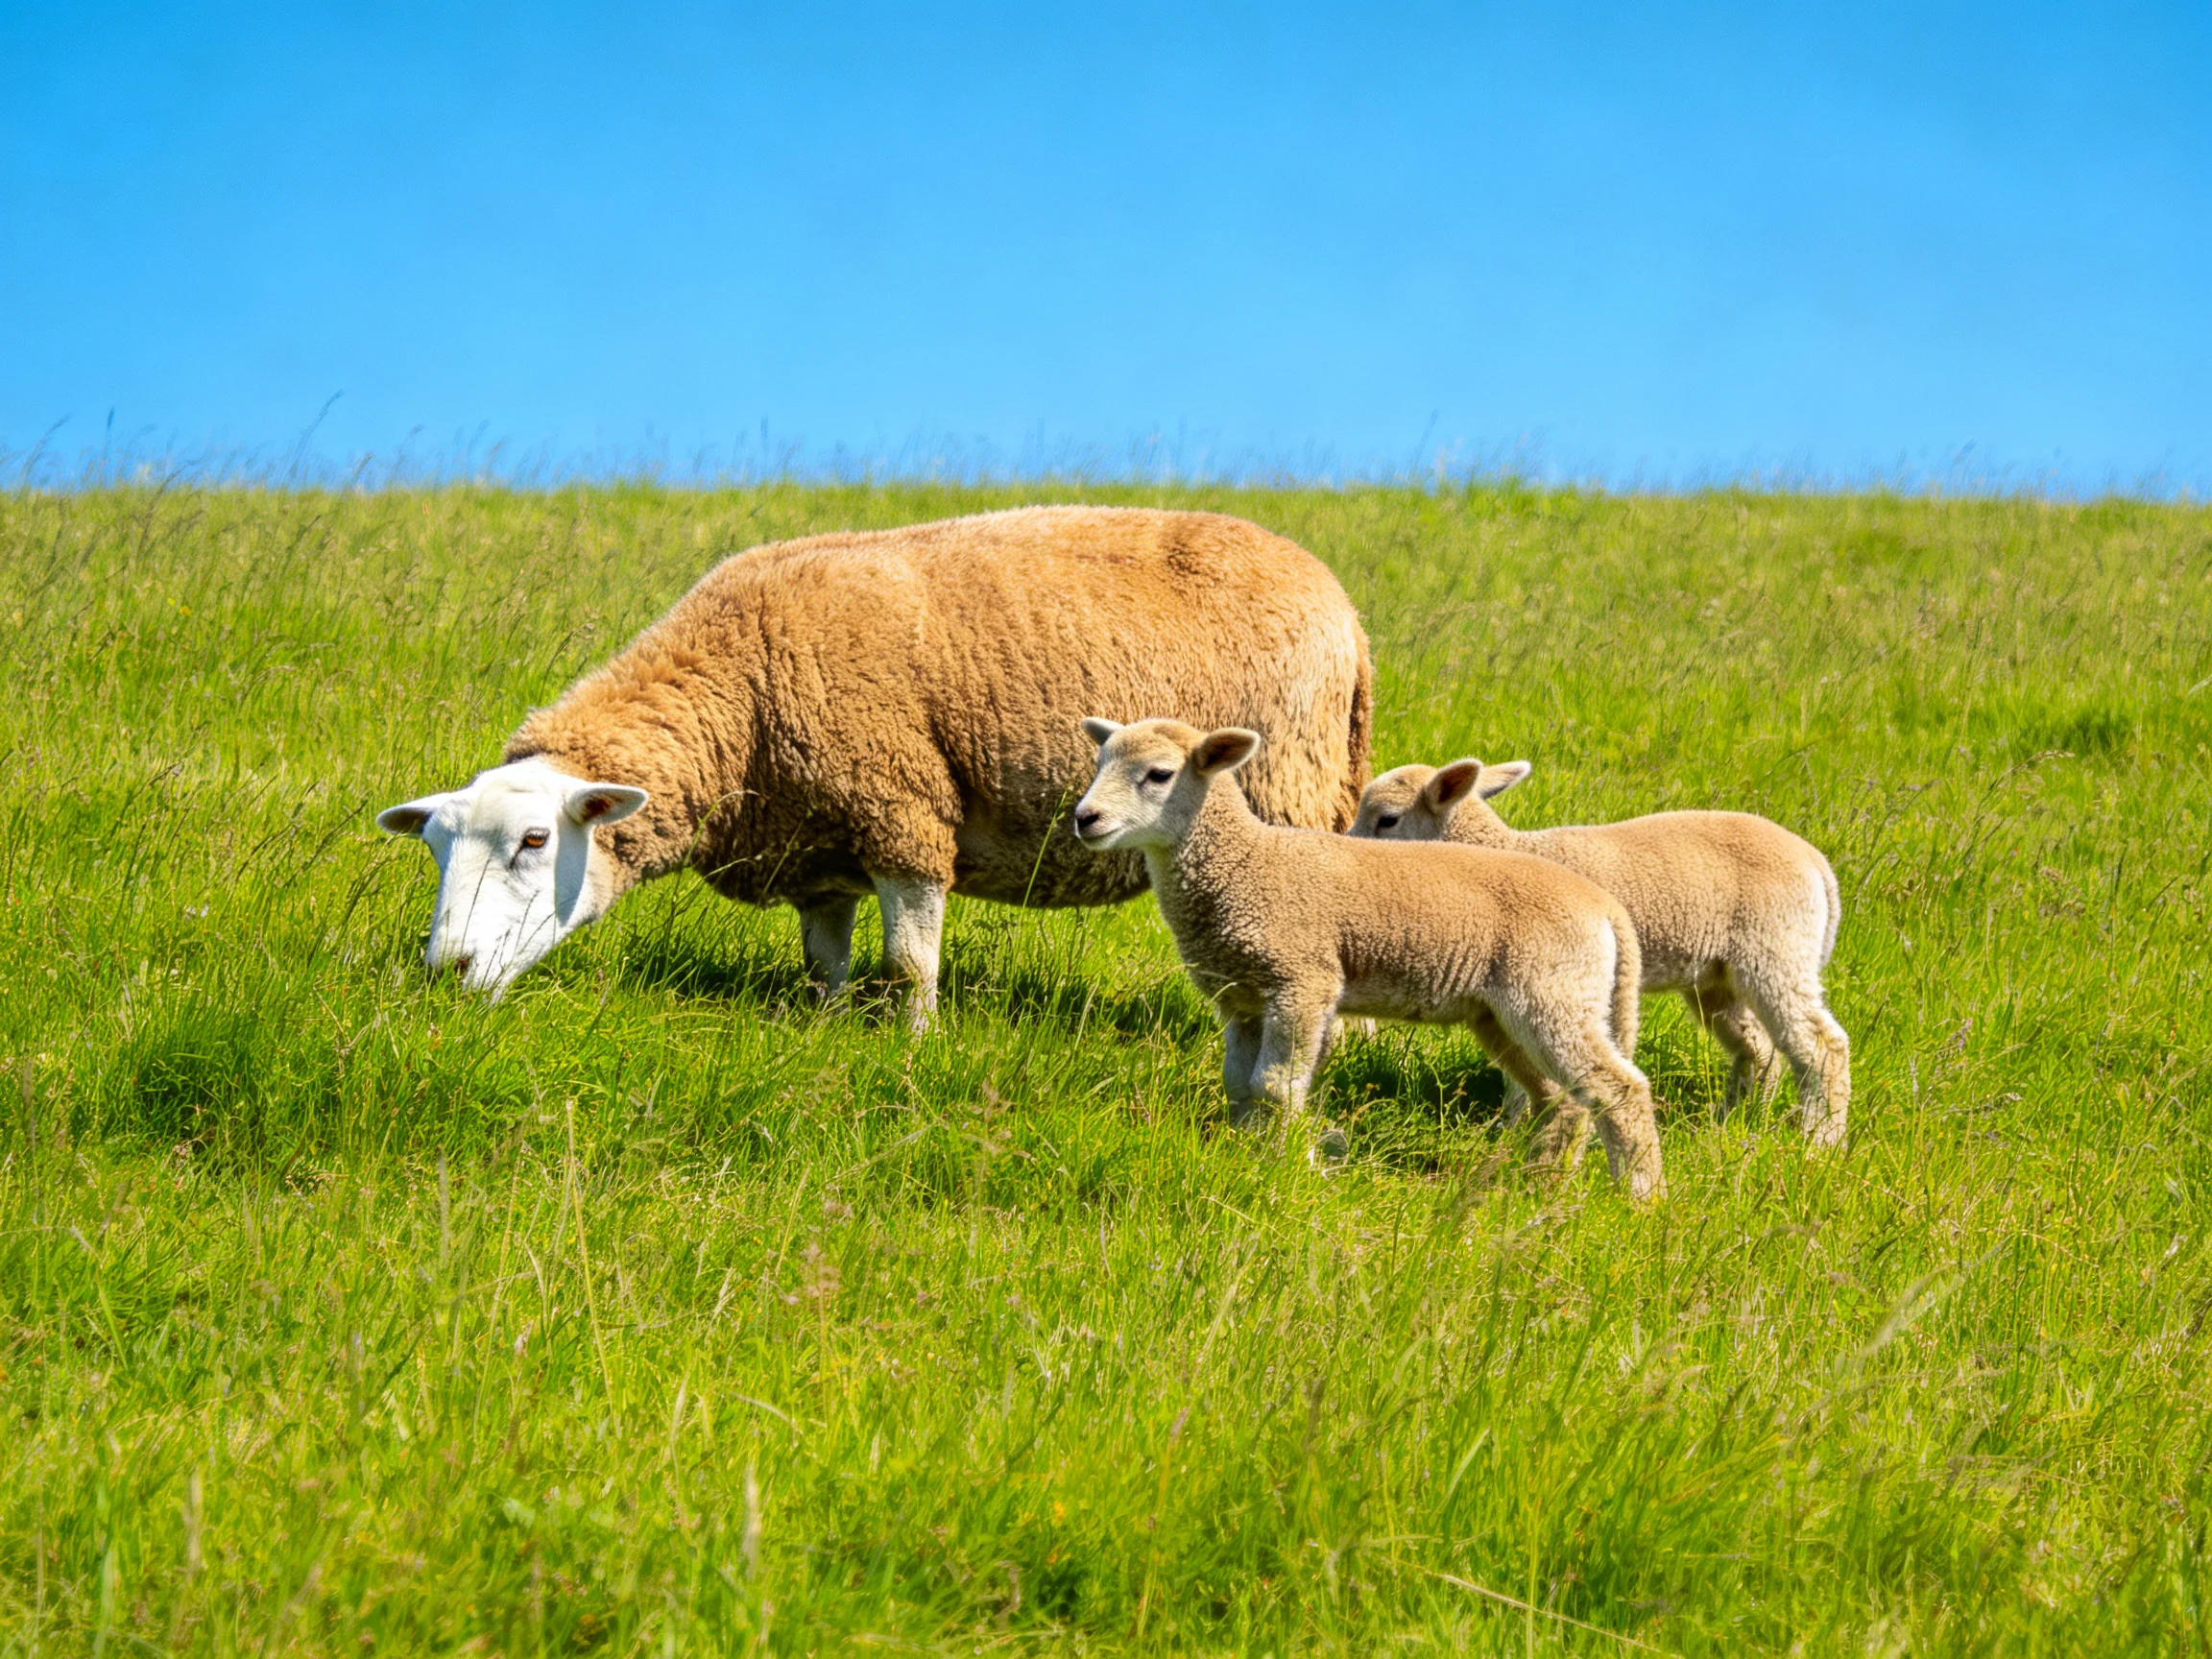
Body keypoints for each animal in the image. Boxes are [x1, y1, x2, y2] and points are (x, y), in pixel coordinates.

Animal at [377, 507, 1373, 1022]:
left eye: (536, 841)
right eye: (434, 848)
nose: (446, 972)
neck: (738, 691)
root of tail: (1346, 610)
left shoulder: (900, 809)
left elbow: (909, 961)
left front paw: (914, 1044)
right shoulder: (817, 848)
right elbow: (827, 961)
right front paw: (826, 1030)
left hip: (1287, 793)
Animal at [1073, 718, 1665, 1199]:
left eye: (1159, 774)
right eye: (1099, 763)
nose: (1085, 818)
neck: (1246, 865)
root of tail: (1604, 908)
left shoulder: (1302, 981)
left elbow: (1276, 1087)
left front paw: (1288, 1168)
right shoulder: (1241, 998)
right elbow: (1239, 1086)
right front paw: (1244, 1156)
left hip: (1551, 994)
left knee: (1619, 1090)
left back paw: (1637, 1198)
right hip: (1503, 1013)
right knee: (1558, 1097)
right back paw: (1536, 1185)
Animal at [1350, 759, 1848, 1147]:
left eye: (1387, 820)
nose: (1347, 843)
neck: (1500, 849)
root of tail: (1815, 863)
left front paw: (1519, 1125)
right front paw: (1516, 1127)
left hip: (1776, 948)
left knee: (1821, 1045)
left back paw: (1819, 1140)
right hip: (1718, 974)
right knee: (1759, 1048)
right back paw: (1736, 1122)